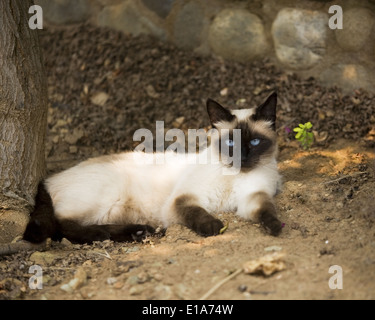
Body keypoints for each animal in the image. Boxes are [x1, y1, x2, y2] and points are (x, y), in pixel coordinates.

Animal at [23, 92, 282, 245]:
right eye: (230, 143)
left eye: (255, 142)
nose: (243, 158)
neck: (234, 176)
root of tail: (48, 179)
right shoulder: (183, 201)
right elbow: (199, 214)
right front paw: (214, 227)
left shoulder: (253, 197)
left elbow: (266, 211)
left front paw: (276, 227)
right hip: (103, 197)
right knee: (61, 224)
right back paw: (101, 235)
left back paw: (140, 232)